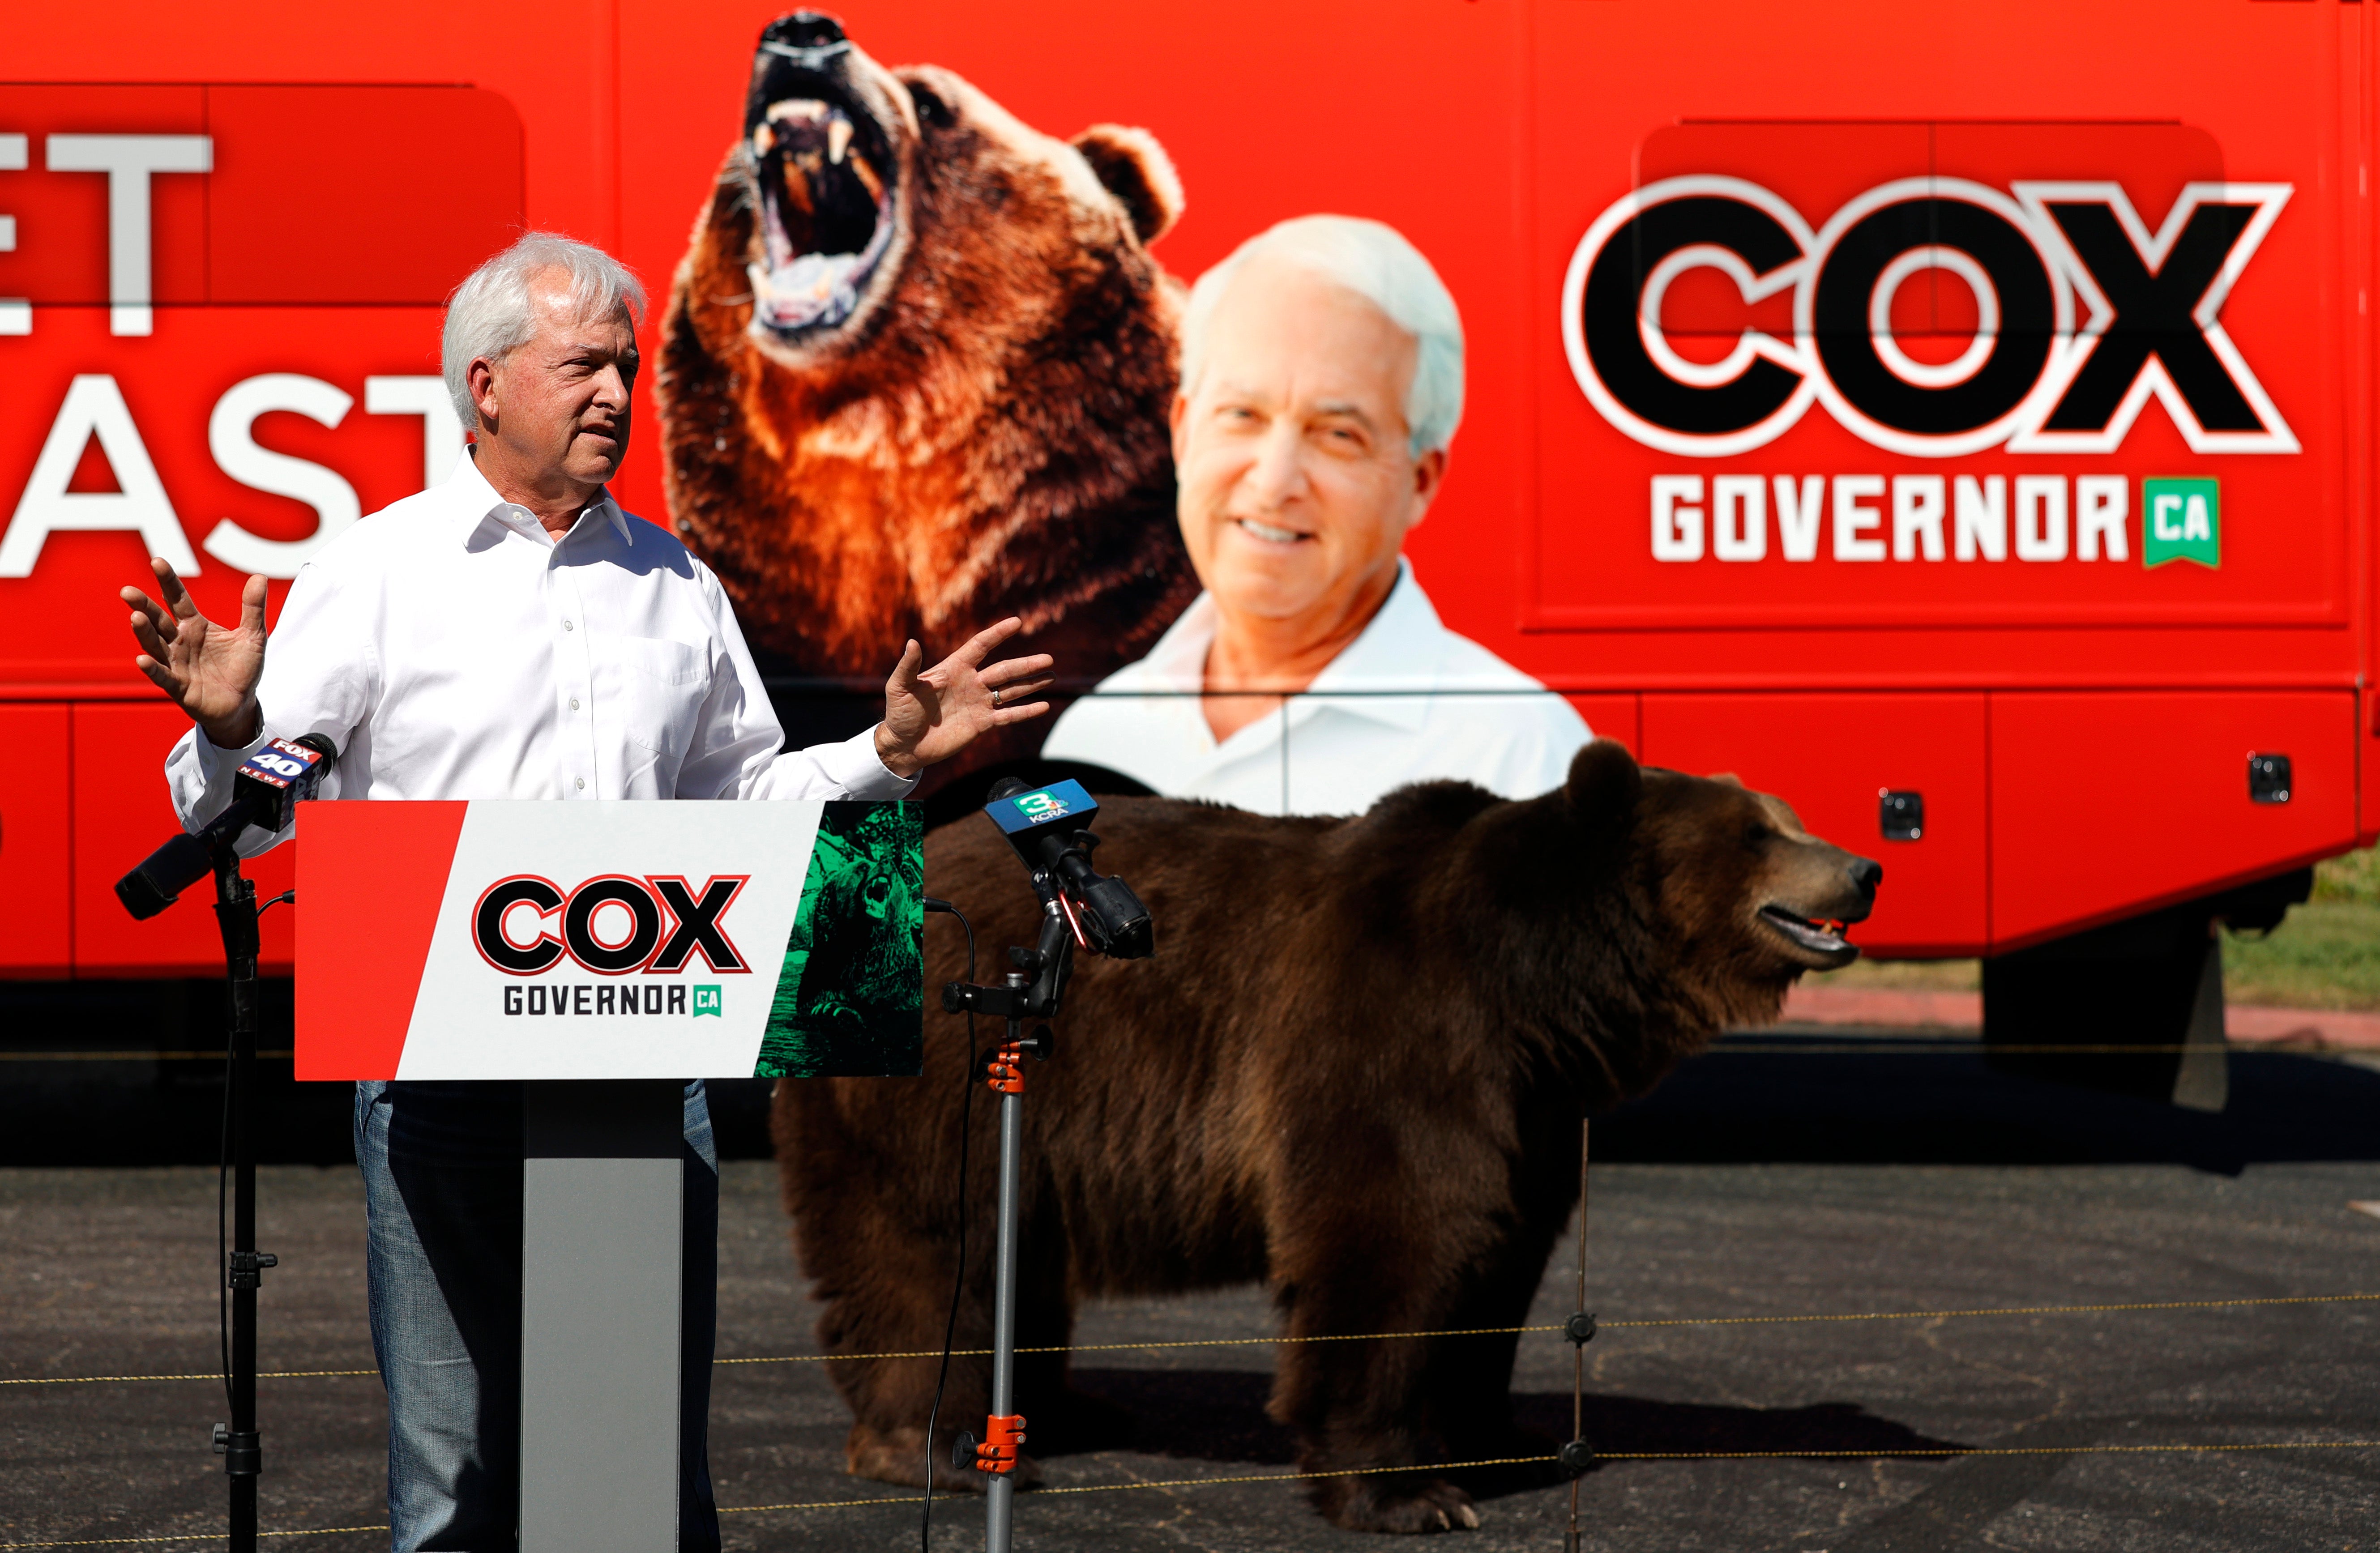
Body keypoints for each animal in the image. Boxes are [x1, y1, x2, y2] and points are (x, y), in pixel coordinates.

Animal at [771, 747, 1885, 1532]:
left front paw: (1498, 1435)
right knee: (930, 1242)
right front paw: (1408, 1492)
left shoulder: (1526, 1108)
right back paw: (938, 1442)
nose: (1865, 867)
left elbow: (1499, 1256)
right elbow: (1390, 1236)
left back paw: (1068, 1407)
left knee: (1020, 1244)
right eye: (1759, 831)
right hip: (935, 1079)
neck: (1533, 988)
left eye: (1785, 817)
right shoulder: (1393, 1031)